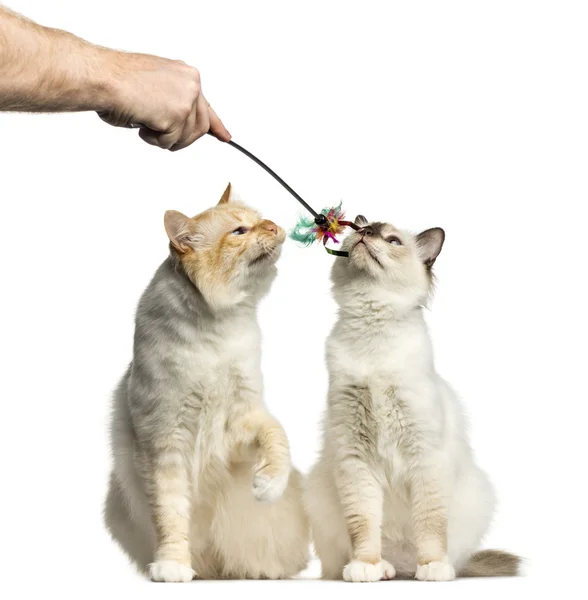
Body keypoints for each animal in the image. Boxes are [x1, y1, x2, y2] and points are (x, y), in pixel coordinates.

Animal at [104, 184, 310, 580]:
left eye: (260, 220)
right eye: (239, 232)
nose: (273, 226)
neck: (218, 331)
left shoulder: (242, 419)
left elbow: (276, 438)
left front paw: (268, 484)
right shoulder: (164, 443)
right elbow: (170, 516)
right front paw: (173, 565)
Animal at [304, 216, 520, 580]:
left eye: (392, 241)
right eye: (359, 231)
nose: (365, 233)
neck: (372, 333)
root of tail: (403, 564)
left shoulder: (425, 454)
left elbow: (430, 525)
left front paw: (431, 566)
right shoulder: (355, 457)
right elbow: (363, 525)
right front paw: (366, 566)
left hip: (476, 495)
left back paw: (422, 569)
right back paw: (383, 569)